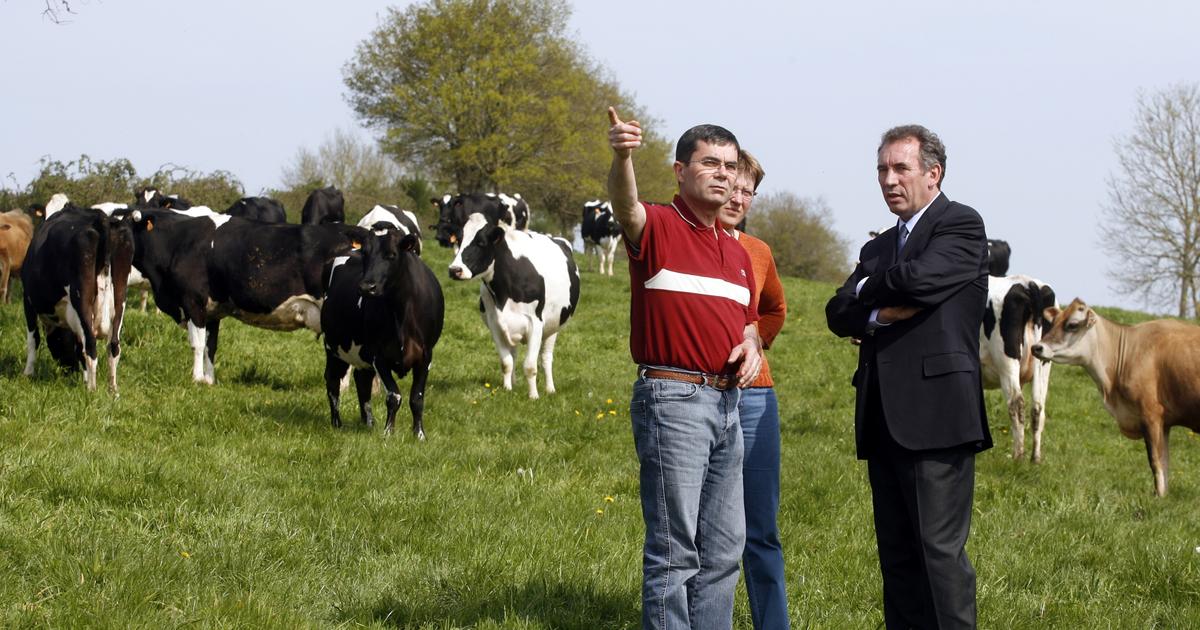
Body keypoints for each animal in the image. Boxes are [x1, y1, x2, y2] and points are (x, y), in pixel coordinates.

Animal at [21, 204, 135, 391]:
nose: (69, 369)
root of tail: (101, 217)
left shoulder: (28, 300)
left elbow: (33, 339)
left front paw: (28, 373)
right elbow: (79, 347)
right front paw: (85, 377)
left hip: (81, 300)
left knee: (91, 346)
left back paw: (92, 390)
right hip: (120, 298)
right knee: (113, 346)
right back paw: (113, 391)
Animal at [127, 207, 364, 384]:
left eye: (122, 225)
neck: (180, 241)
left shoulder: (193, 302)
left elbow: (197, 344)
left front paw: (196, 379)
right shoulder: (212, 311)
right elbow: (210, 346)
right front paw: (209, 381)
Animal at [321, 225, 444, 436]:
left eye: (391, 255)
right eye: (365, 253)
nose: (366, 287)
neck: (402, 312)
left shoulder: (426, 355)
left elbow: (417, 398)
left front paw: (419, 434)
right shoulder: (378, 354)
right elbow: (394, 396)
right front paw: (388, 433)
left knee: (362, 381)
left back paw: (368, 422)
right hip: (333, 346)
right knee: (333, 380)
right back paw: (337, 423)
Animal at [979, 272, 1056, 458]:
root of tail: (1028, 282)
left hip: (1006, 360)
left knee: (1016, 403)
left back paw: (1017, 456)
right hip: (1044, 362)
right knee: (1038, 407)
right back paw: (1035, 458)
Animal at [1032, 298, 1200, 496]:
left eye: (1072, 324)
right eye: (1054, 322)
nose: (1037, 347)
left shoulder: (1151, 414)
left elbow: (1156, 462)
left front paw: (1158, 497)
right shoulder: (1164, 422)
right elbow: (1165, 465)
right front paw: (1163, 496)